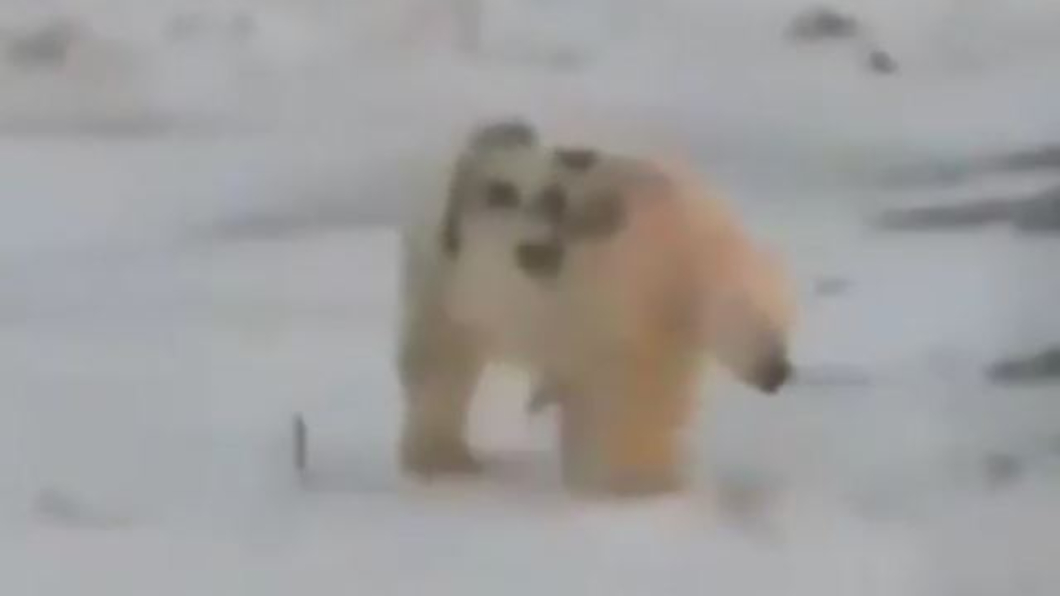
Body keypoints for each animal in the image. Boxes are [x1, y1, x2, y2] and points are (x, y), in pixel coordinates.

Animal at [394, 118, 796, 496]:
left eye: (790, 326)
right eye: (763, 324)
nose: (778, 373)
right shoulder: (627, 298)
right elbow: (624, 405)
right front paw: (632, 484)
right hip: (449, 276)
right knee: (441, 366)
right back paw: (444, 460)